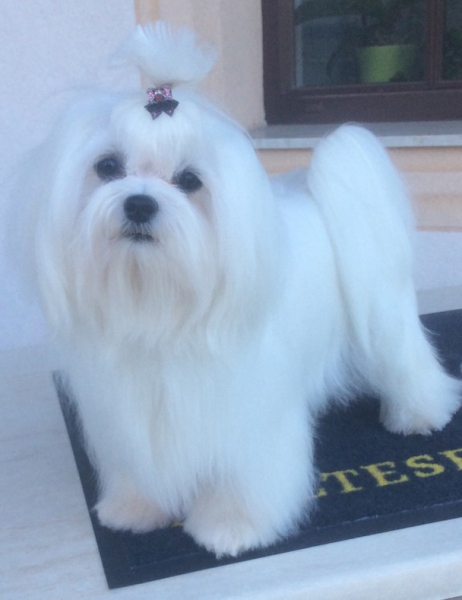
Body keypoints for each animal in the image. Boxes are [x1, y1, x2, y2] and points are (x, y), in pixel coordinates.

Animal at [24, 22, 460, 557]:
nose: (139, 204)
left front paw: (231, 526)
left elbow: (242, 474)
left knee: (407, 363)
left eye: (190, 180)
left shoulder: (246, 410)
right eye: (107, 167)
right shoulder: (127, 409)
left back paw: (420, 413)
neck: (158, 301)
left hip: (383, 315)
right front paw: (136, 508)